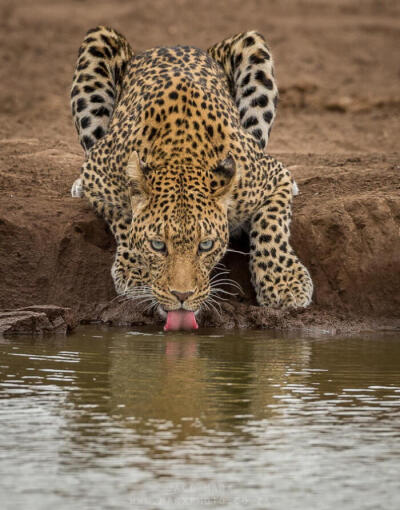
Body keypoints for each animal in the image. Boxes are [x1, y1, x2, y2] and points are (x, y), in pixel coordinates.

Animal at [69, 25, 312, 330]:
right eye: (158, 245)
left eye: (205, 245)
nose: (182, 296)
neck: (181, 158)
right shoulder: (96, 174)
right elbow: (123, 216)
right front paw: (135, 270)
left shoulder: (272, 174)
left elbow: (272, 225)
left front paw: (285, 283)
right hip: (100, 41)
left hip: (252, 47)